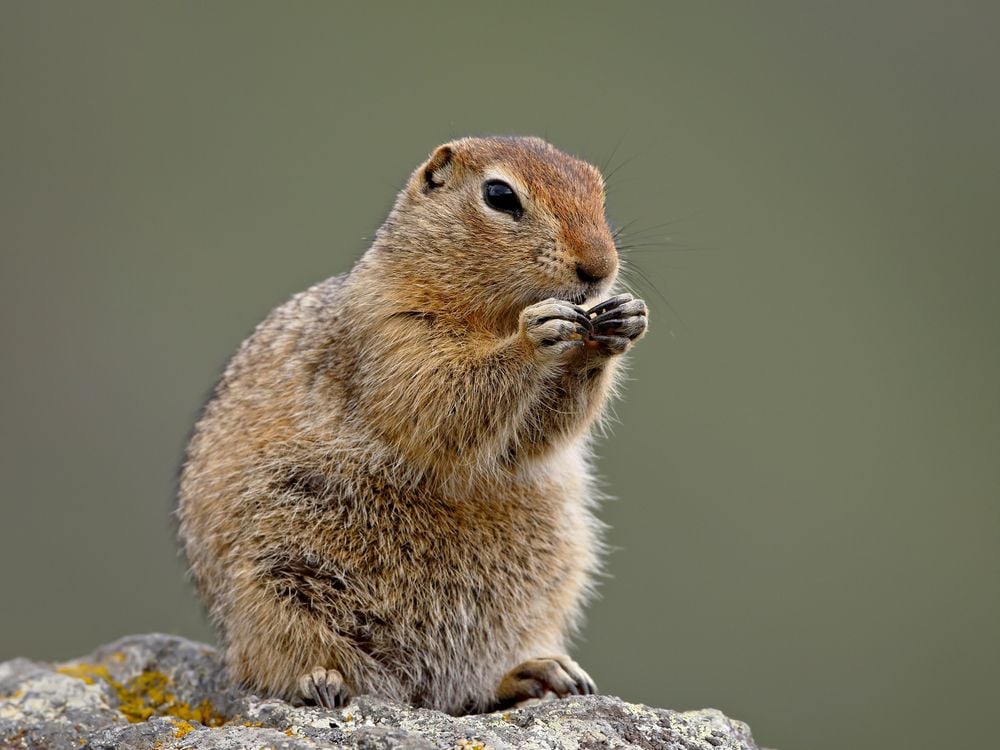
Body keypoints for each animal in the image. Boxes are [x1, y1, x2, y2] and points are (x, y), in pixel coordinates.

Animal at [177, 137, 652, 716]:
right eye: (500, 195)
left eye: (598, 190)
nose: (600, 267)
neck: (489, 312)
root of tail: (419, 691)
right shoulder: (390, 329)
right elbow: (436, 395)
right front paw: (537, 333)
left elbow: (534, 438)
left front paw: (621, 322)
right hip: (270, 584)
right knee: (279, 659)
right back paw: (324, 680)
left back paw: (537, 672)